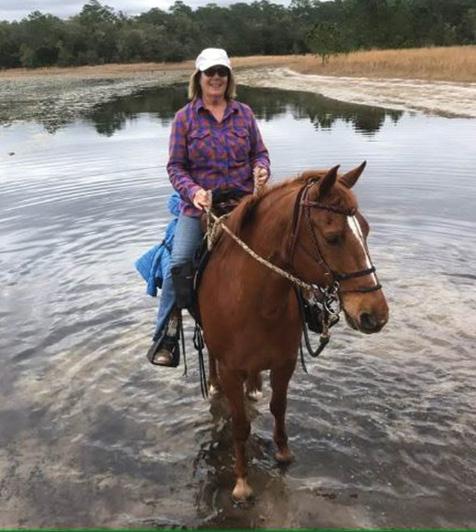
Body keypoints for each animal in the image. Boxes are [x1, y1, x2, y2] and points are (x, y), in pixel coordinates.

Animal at [198, 162, 389, 501]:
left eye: (365, 230)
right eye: (332, 237)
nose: (375, 314)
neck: (256, 301)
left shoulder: (284, 362)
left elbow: (279, 407)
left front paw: (283, 453)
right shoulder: (232, 368)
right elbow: (240, 425)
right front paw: (242, 482)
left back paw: (254, 386)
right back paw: (215, 383)